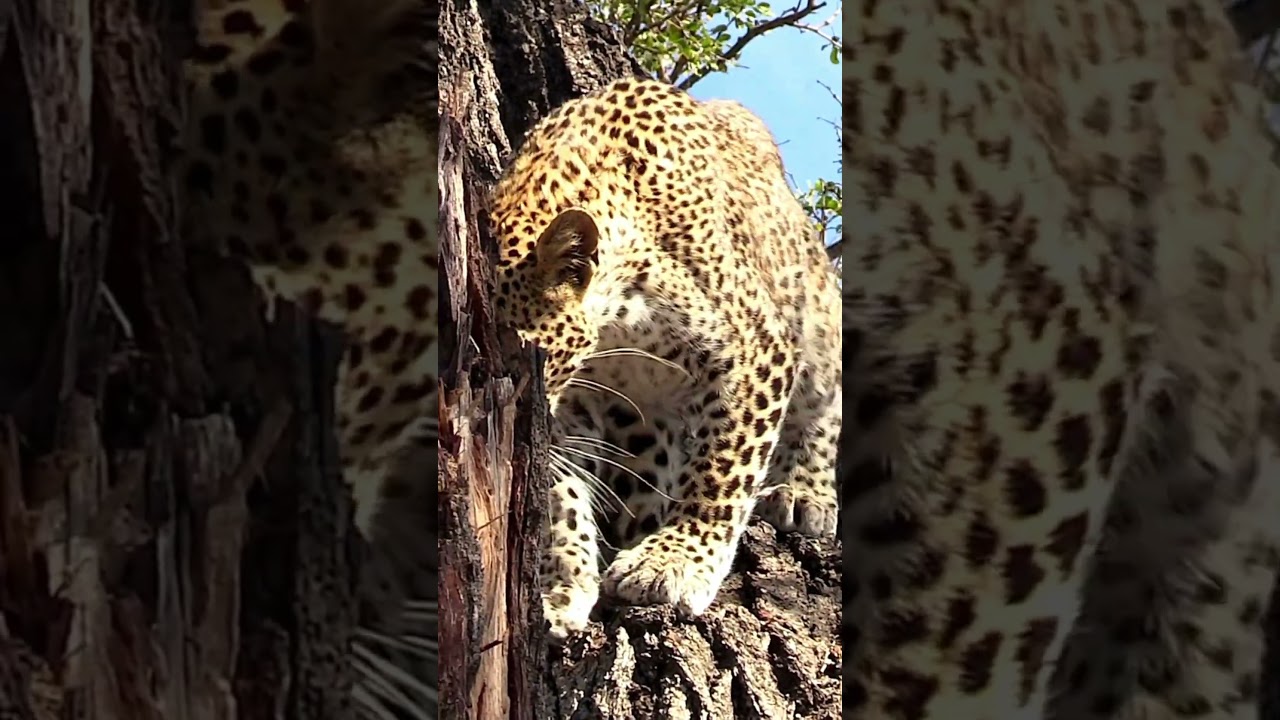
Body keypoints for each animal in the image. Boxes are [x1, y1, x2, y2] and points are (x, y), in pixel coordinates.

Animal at [487, 78, 843, 640]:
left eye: (525, 359)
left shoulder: (755, 350)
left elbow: (722, 473)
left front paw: (674, 563)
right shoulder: (573, 407)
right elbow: (561, 495)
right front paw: (560, 587)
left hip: (814, 311)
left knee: (824, 402)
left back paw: (802, 491)